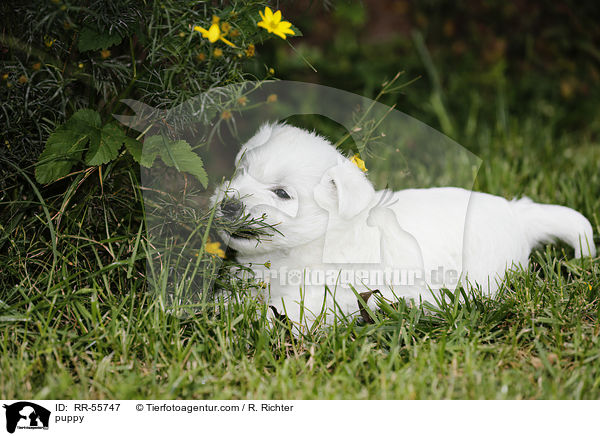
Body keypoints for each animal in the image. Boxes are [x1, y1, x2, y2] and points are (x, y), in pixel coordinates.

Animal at [212, 122, 596, 328]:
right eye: (241, 171)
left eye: (282, 193)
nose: (229, 205)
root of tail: (517, 213)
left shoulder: (319, 297)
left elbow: (284, 313)